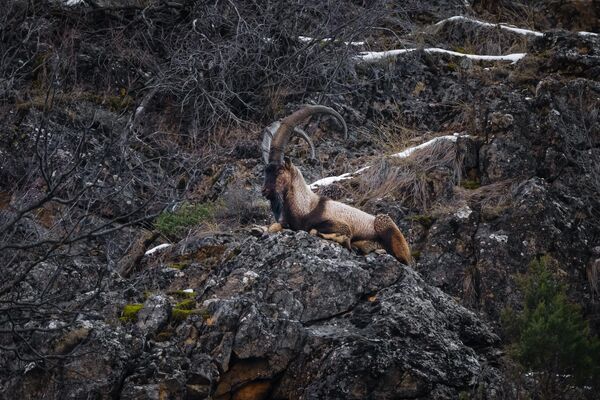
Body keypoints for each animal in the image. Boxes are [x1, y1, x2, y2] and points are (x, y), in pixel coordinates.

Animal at [262, 104, 412, 264]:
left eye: (279, 170)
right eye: (266, 170)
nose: (264, 191)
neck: (305, 207)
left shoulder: (341, 225)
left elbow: (318, 230)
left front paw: (343, 240)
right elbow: (275, 226)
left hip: (384, 222)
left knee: (401, 258)